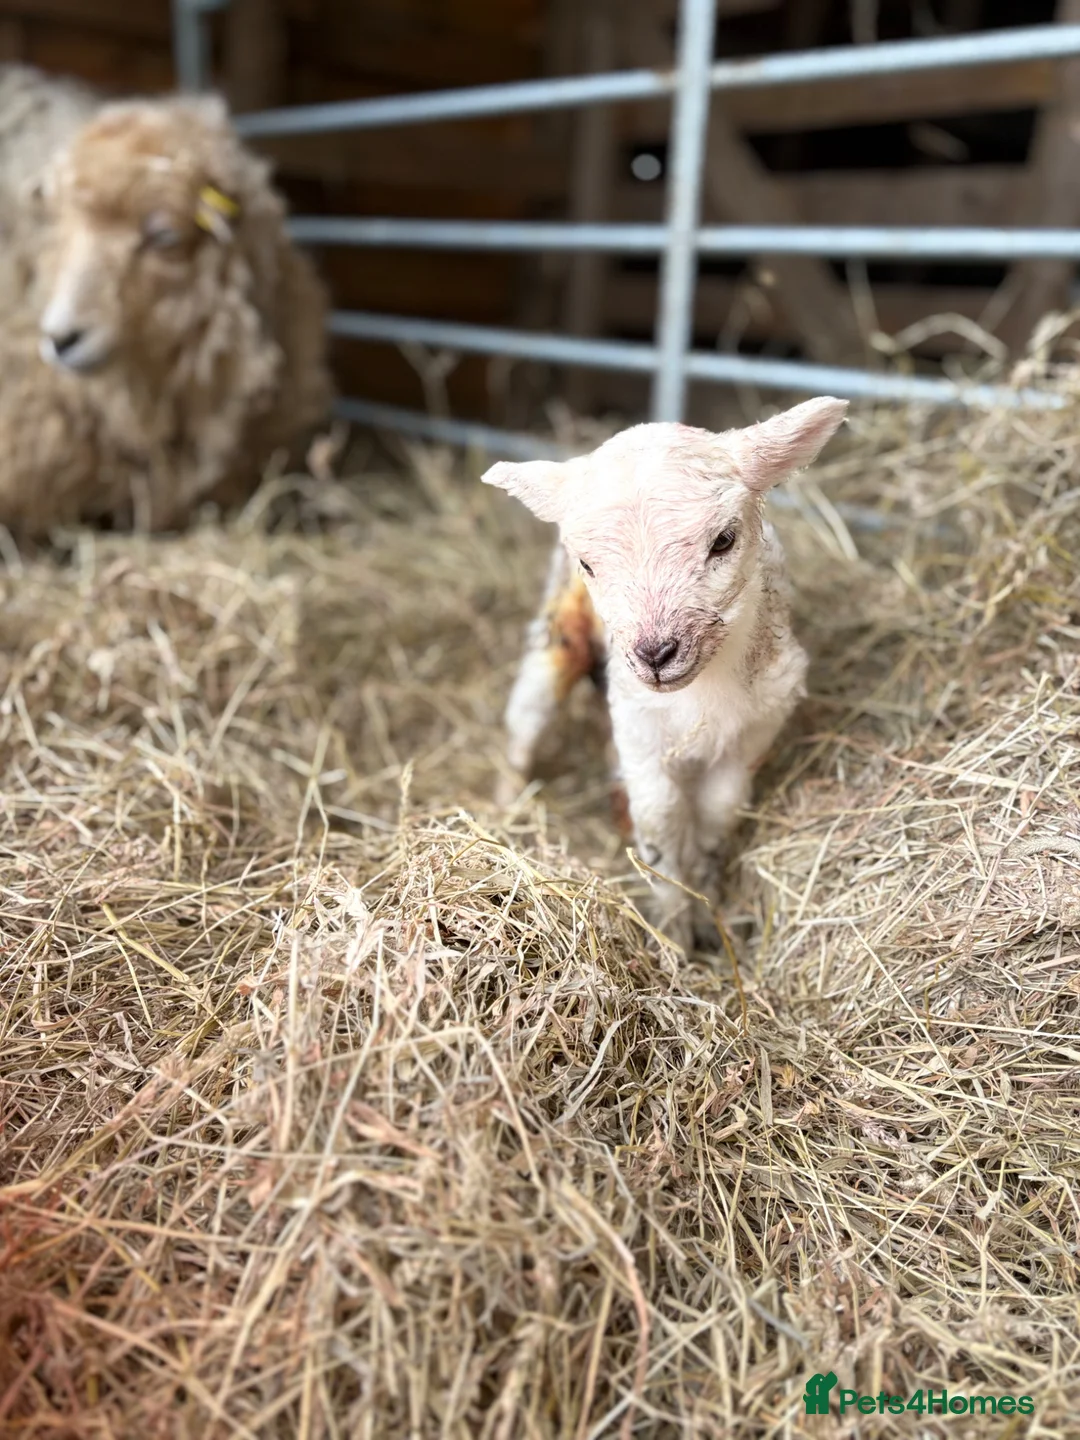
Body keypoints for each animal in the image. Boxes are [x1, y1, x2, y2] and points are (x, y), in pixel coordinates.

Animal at [484, 397, 848, 952]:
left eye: (724, 540)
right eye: (587, 564)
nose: (655, 654)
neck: (700, 693)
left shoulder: (755, 731)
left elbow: (719, 812)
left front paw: (706, 901)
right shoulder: (639, 732)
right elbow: (662, 821)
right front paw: (673, 930)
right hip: (555, 641)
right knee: (524, 732)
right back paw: (505, 814)